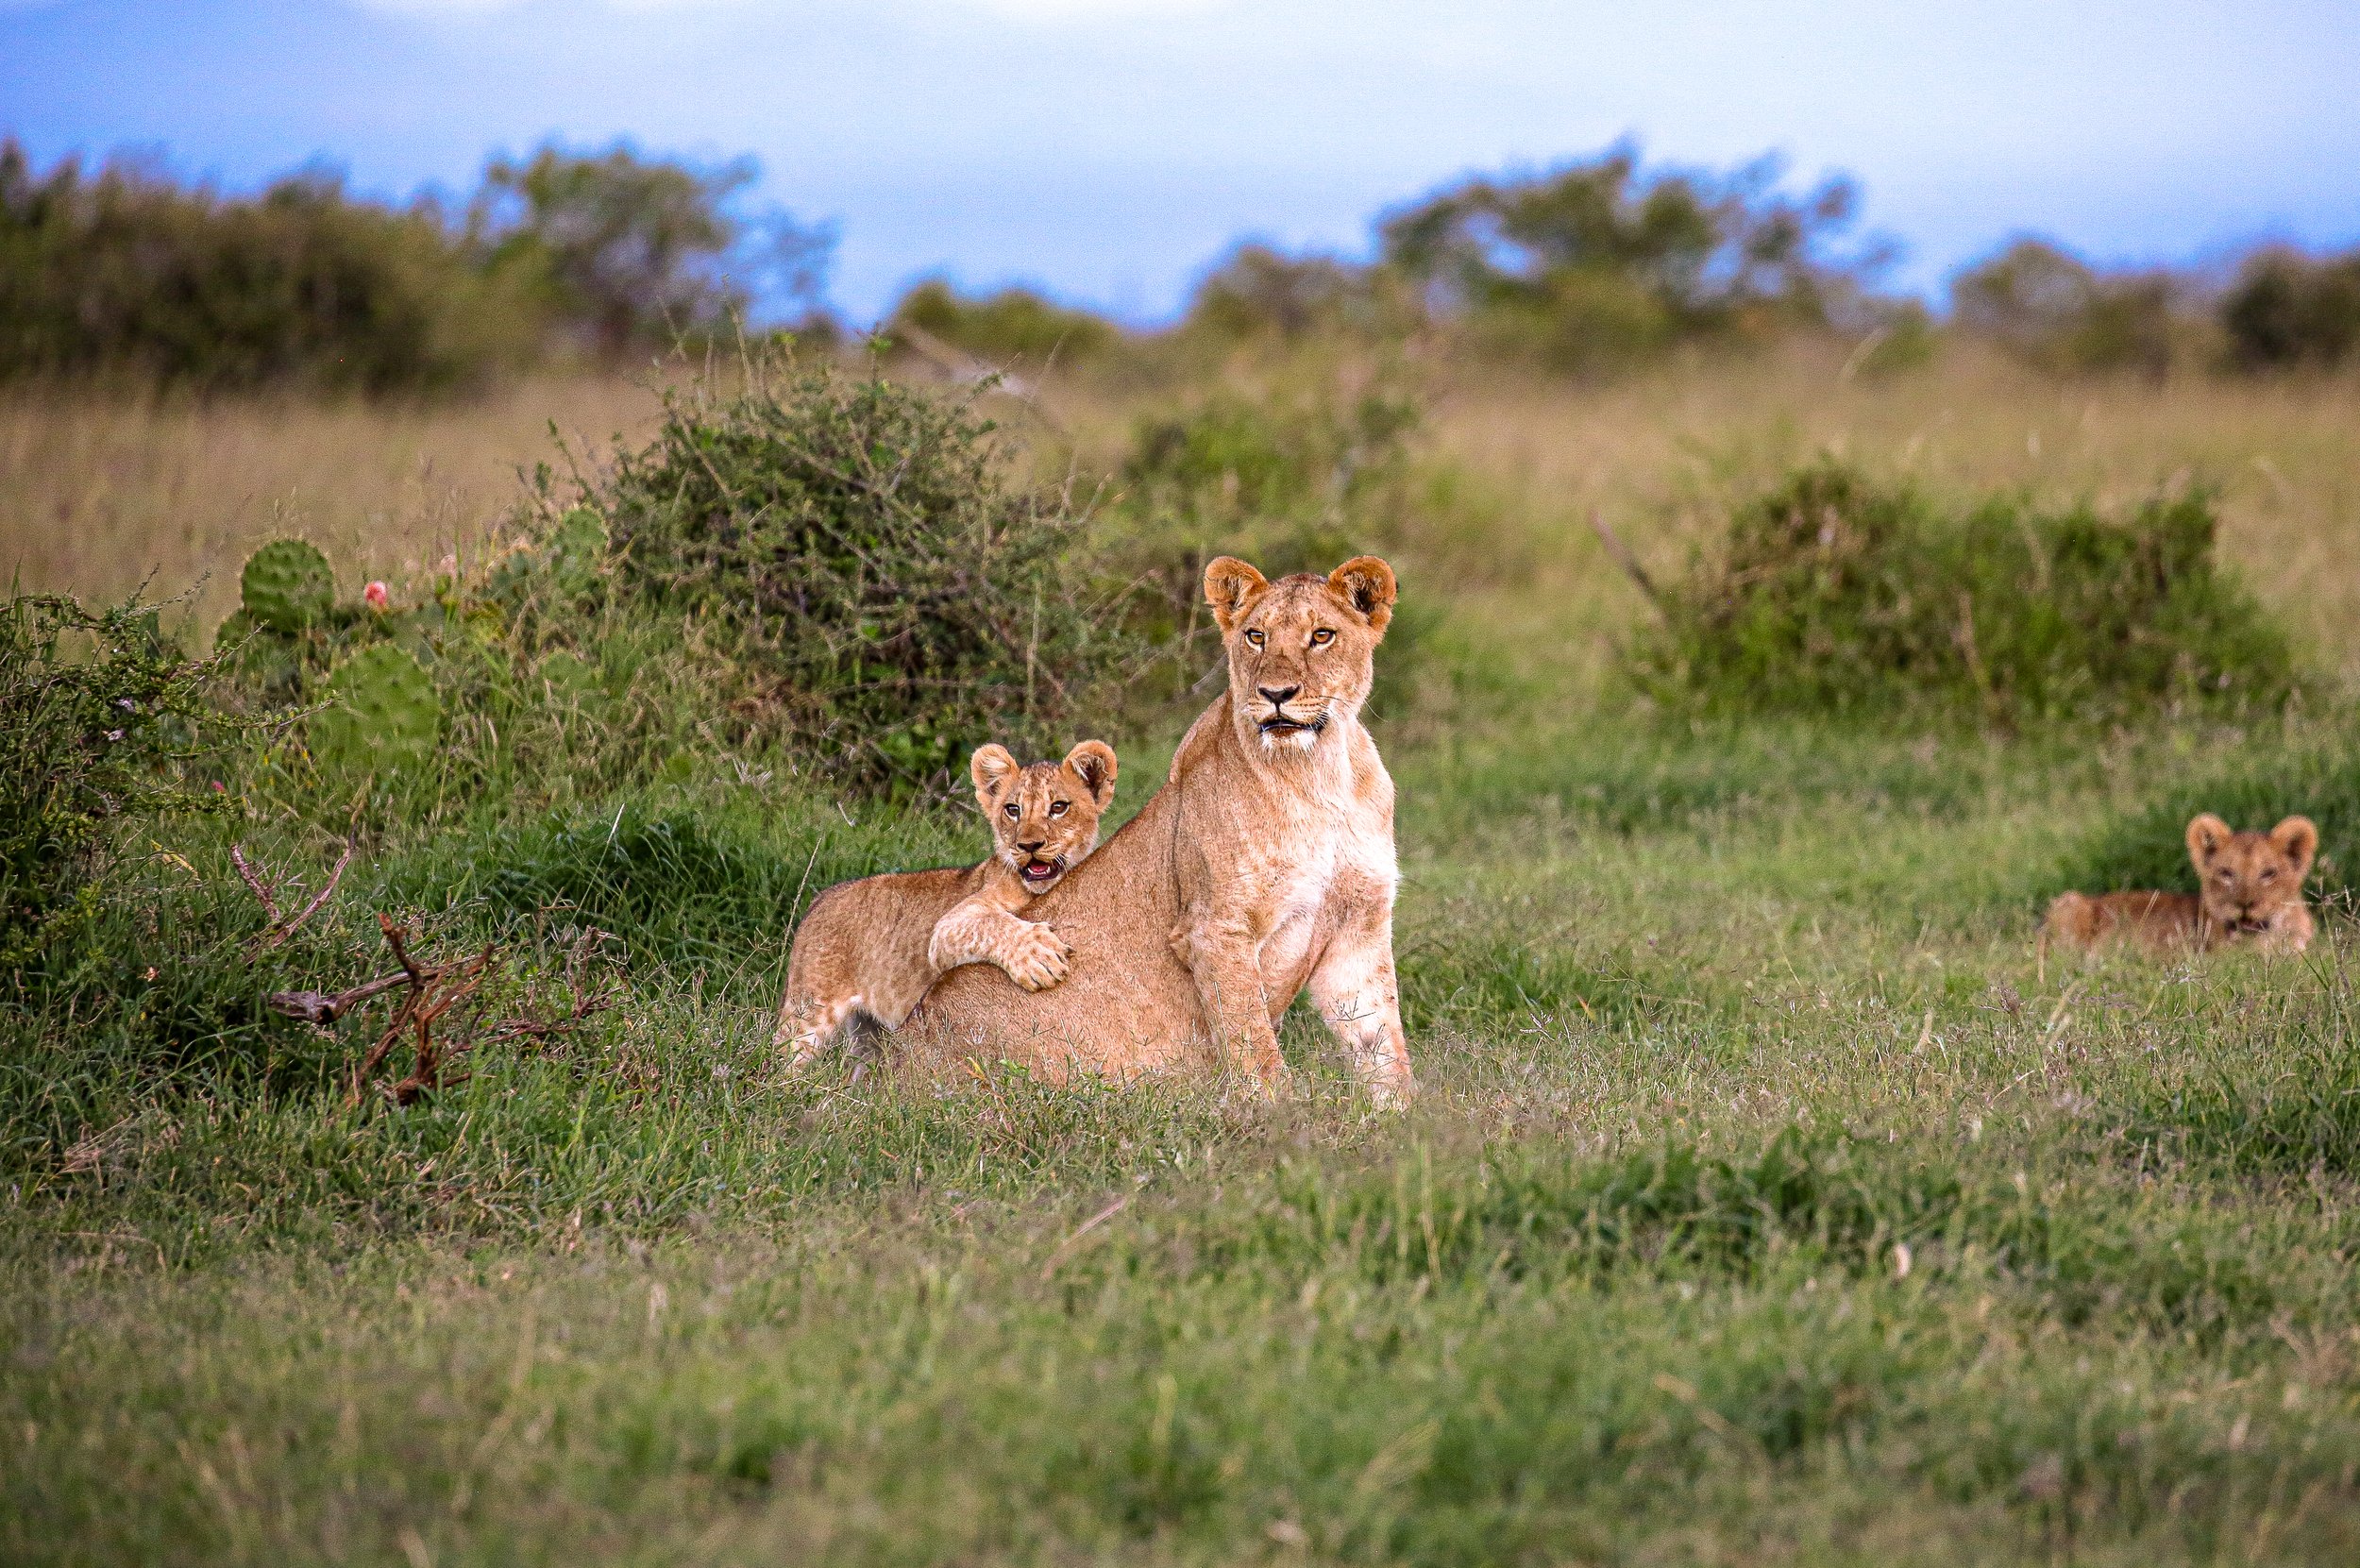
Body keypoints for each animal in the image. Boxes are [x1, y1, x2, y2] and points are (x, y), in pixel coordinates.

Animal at [774, 739, 1118, 1065]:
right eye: (1013, 810)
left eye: (1059, 807)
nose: (1028, 845)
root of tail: (822, 896)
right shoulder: (947, 929)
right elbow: (991, 925)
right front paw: (1039, 958)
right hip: (807, 1015)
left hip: (870, 1035)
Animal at [903, 554, 1416, 1104]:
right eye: (1255, 636)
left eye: (1322, 635)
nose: (1275, 694)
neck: (1318, 774)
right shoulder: (1214, 928)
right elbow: (1254, 1046)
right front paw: (1280, 1119)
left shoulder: (1358, 927)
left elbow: (1381, 1044)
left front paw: (1405, 1118)